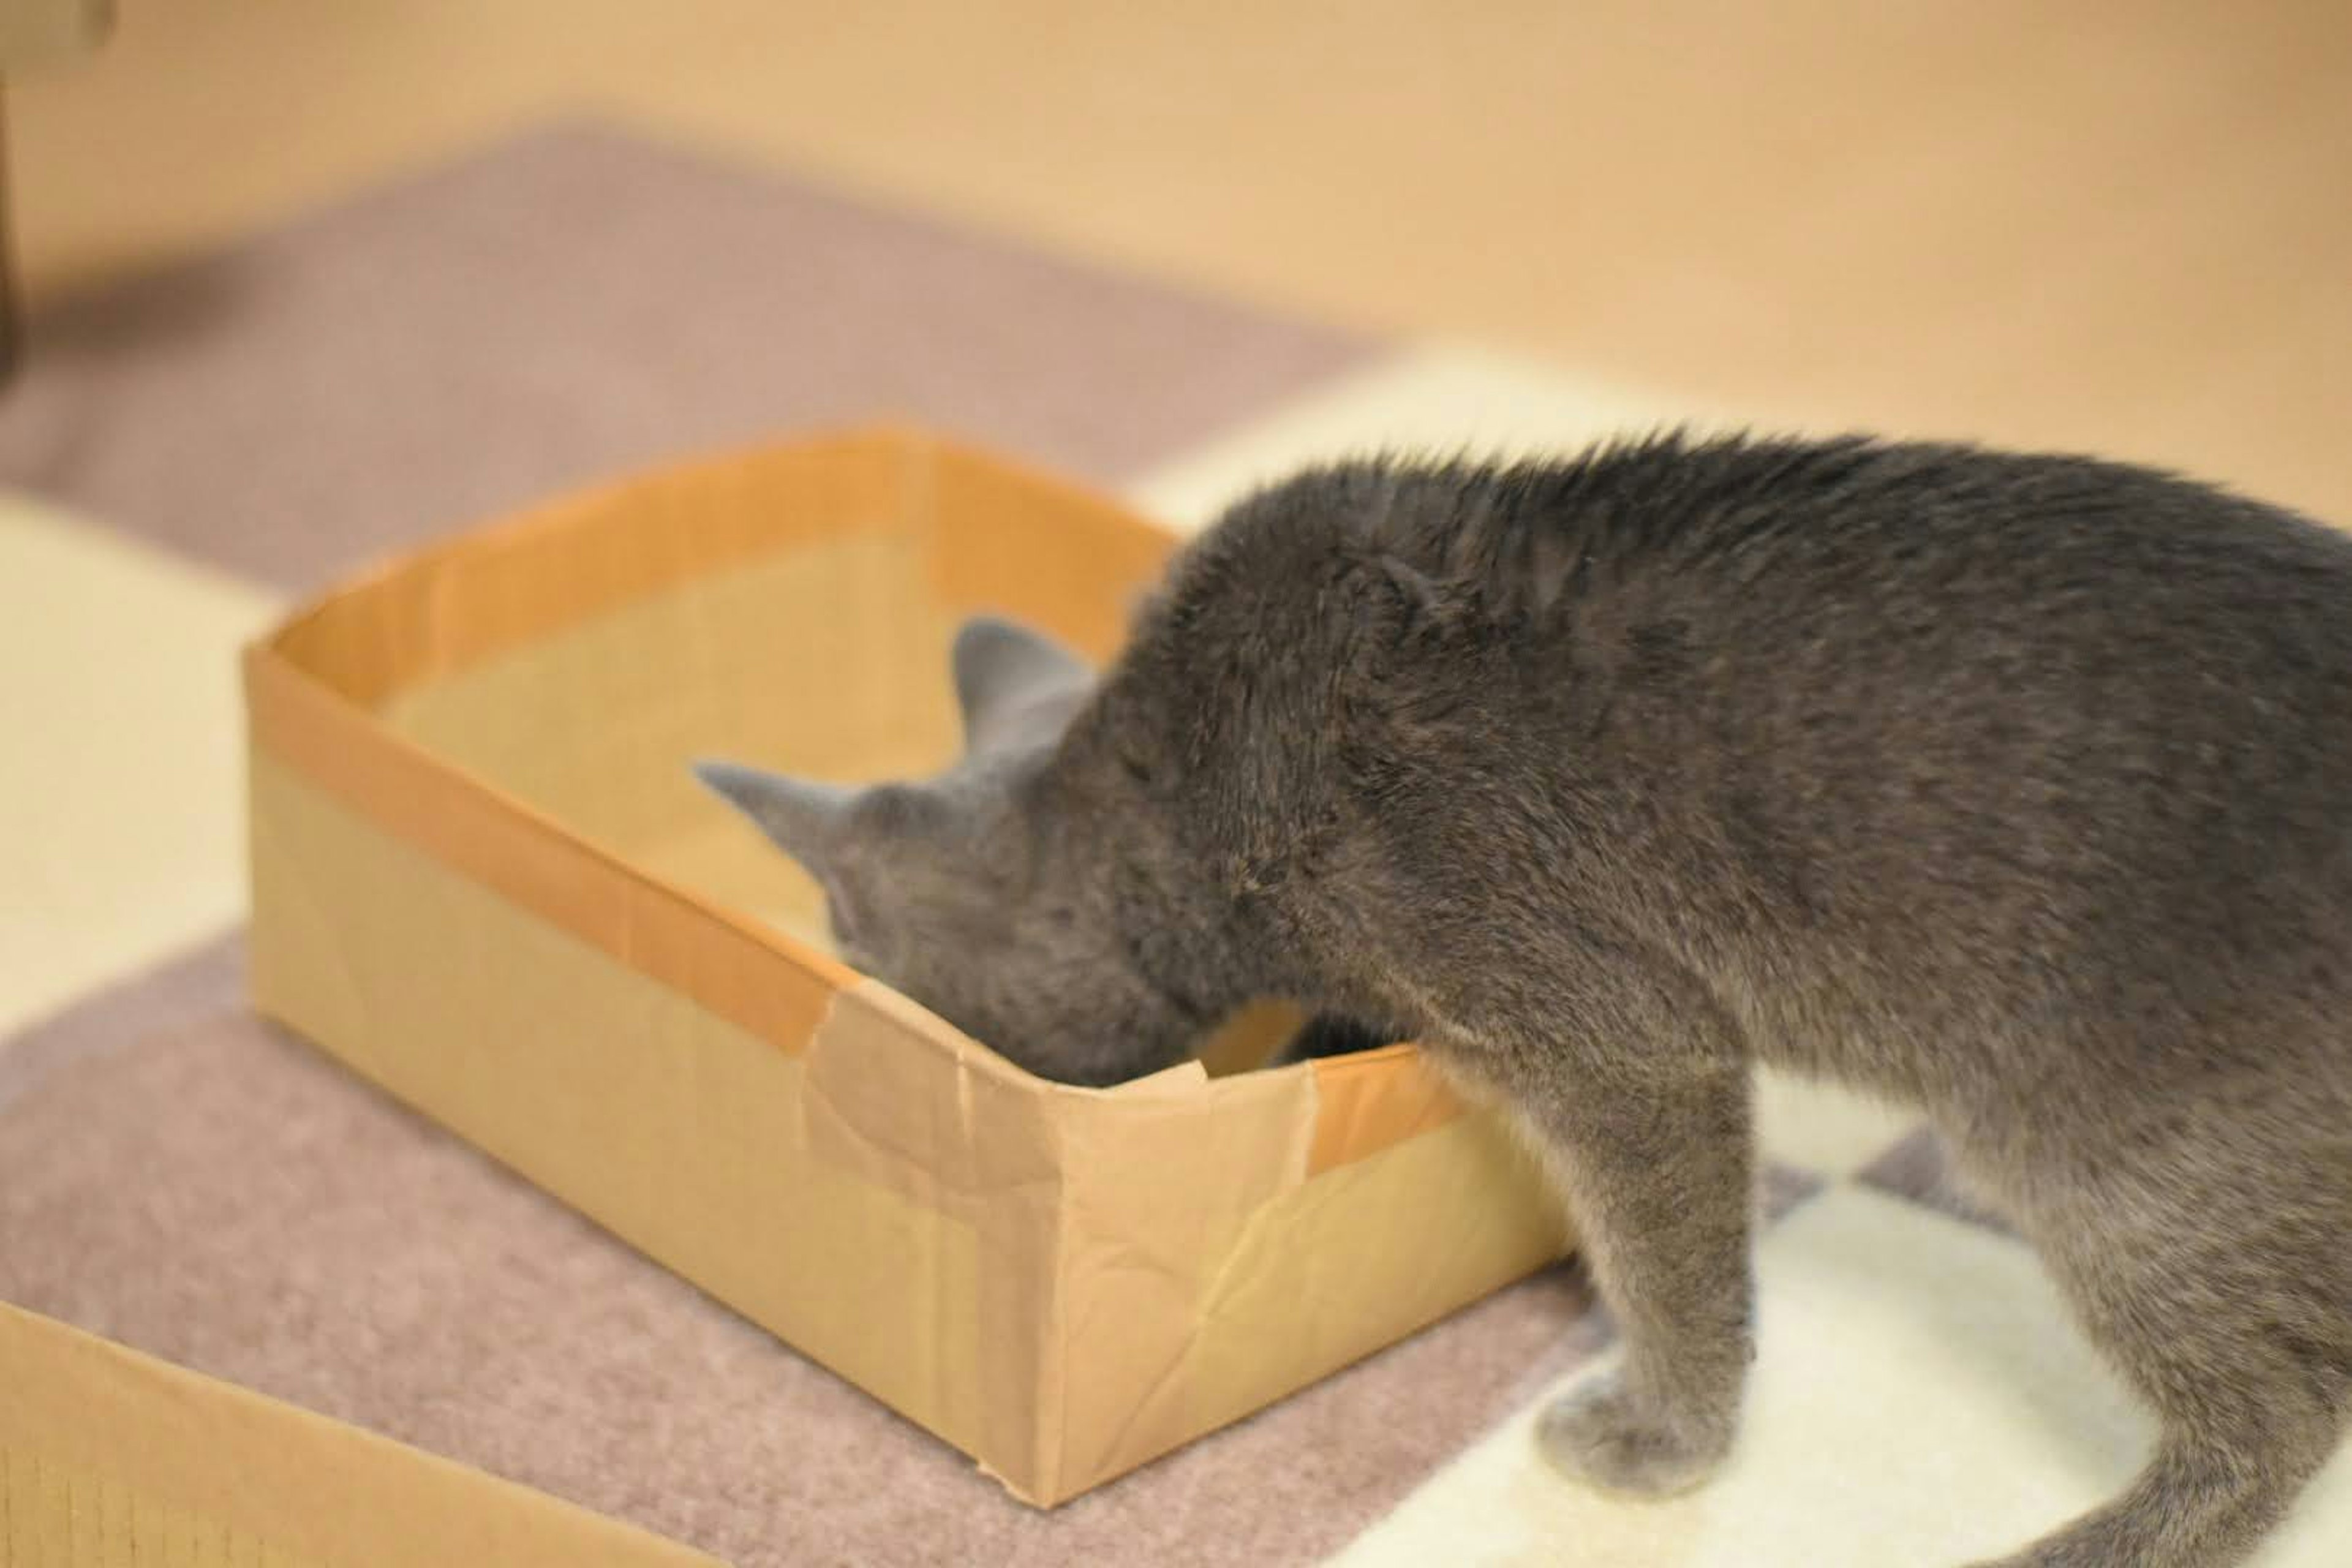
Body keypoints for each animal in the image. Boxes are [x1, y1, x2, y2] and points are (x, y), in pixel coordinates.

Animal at [696, 432, 2352, 1568]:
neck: (1177, 790)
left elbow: (1667, 1269)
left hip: (2114, 1163)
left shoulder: (1619, 1036)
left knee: (2281, 1413)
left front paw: (1659, 1441)